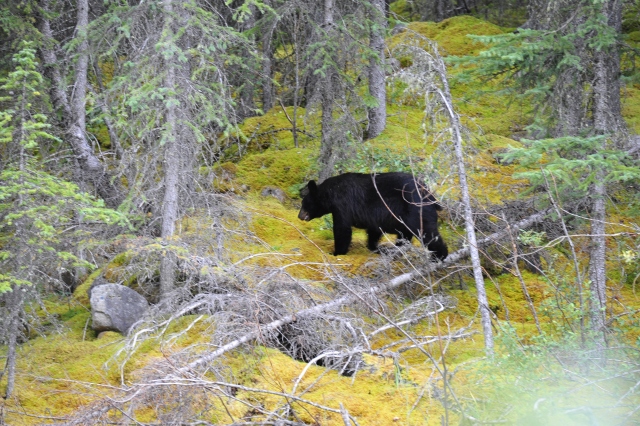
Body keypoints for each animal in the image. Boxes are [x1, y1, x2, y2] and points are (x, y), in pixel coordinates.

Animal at [298, 171, 448, 258]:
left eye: (304, 203)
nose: (299, 216)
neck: (330, 193)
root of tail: (429, 193)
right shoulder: (374, 216)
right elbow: (374, 231)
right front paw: (376, 247)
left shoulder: (342, 204)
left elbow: (342, 229)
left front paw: (336, 252)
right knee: (405, 234)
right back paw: (396, 249)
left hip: (416, 210)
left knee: (426, 232)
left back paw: (439, 256)